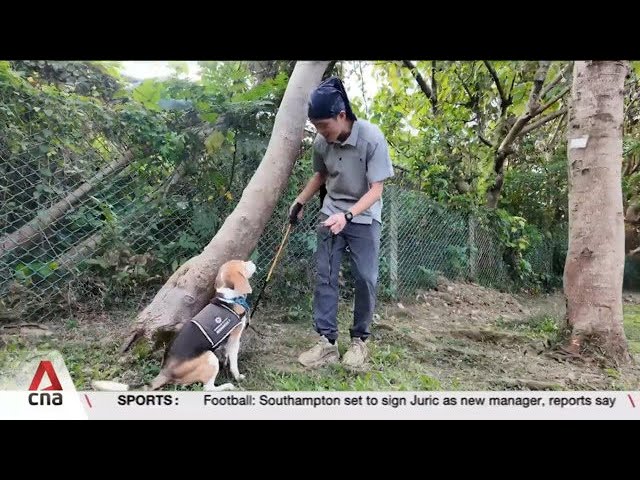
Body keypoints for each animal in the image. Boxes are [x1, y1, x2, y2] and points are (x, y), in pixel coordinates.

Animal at [93, 258, 258, 390]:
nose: (252, 262)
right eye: (243, 263)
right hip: (210, 357)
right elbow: (234, 361)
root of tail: (164, 371)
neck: (228, 298)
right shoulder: (234, 339)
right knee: (208, 388)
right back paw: (227, 386)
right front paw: (237, 376)